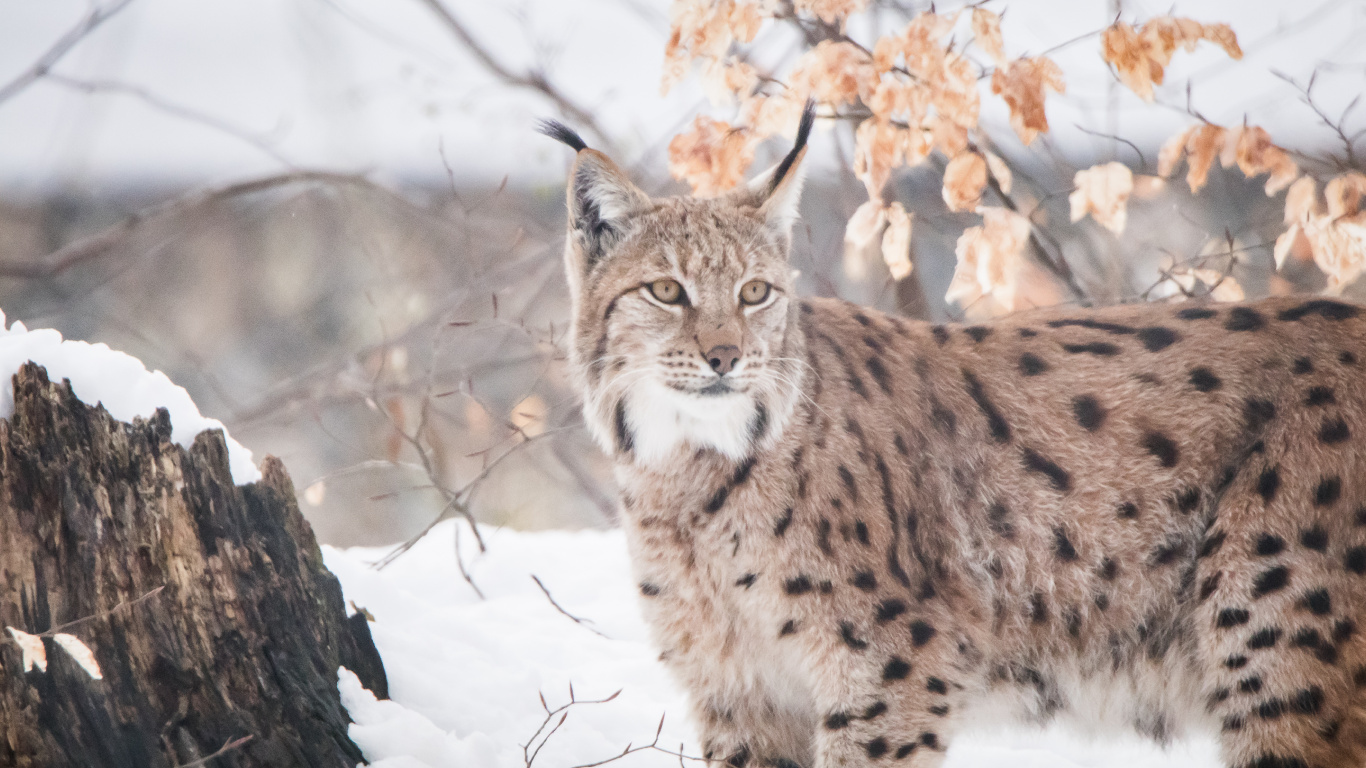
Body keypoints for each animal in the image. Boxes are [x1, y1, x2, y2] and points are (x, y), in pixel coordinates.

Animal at [540, 105, 1366, 768]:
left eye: (754, 293)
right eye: (666, 291)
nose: (726, 358)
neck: (687, 470)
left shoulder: (889, 667)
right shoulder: (740, 689)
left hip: (1277, 655)